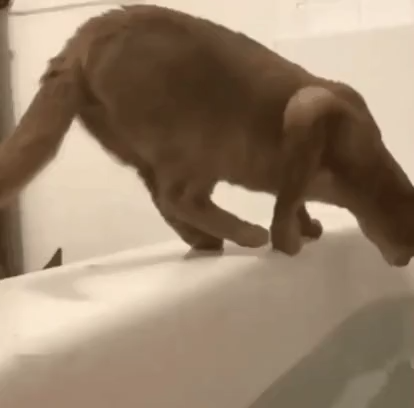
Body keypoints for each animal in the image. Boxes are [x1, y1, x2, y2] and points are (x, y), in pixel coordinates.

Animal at [0, 5, 413, 266]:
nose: (404, 260)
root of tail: (81, 39)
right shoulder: (308, 106)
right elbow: (288, 197)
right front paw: (287, 240)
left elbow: (292, 197)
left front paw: (307, 227)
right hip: (202, 147)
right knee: (178, 197)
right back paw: (248, 234)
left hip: (144, 155)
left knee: (164, 199)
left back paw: (206, 241)